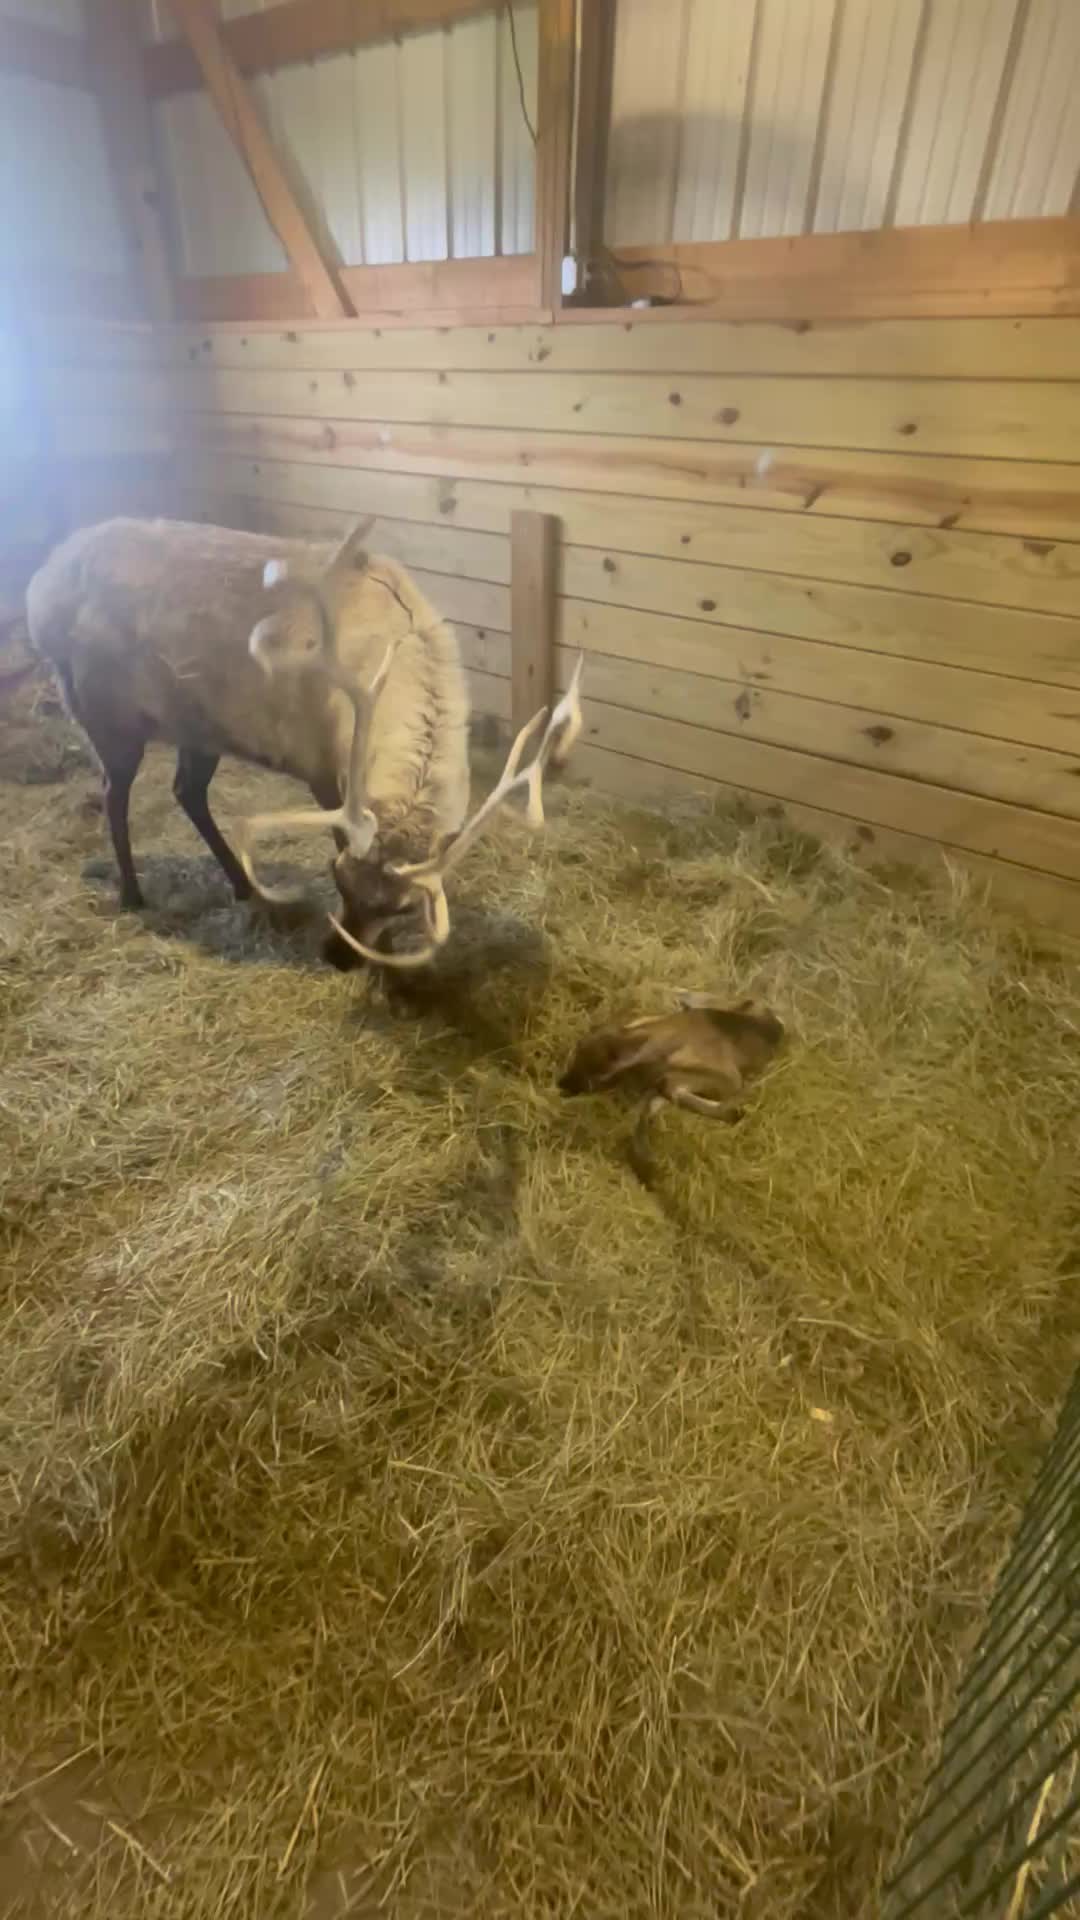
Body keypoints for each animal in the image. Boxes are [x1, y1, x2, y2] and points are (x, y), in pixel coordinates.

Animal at [26, 513, 583, 970]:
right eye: (337, 878)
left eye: (404, 906)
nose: (338, 956)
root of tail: (41, 586)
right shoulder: (324, 767)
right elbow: (336, 828)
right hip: (104, 712)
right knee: (113, 792)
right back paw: (132, 893)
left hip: (199, 726)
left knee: (186, 790)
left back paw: (243, 886)